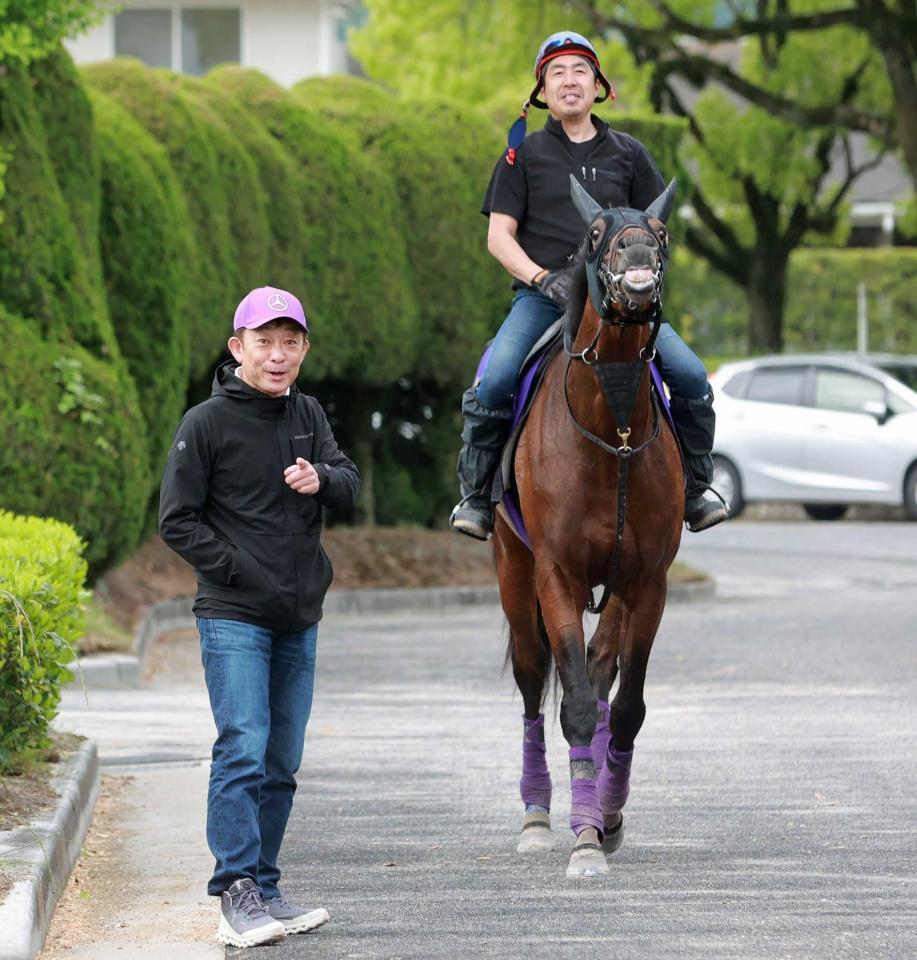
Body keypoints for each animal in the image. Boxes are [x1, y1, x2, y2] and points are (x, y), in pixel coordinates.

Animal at [490, 174, 684, 876]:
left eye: (659, 230)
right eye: (596, 233)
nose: (636, 257)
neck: (613, 431)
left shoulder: (649, 581)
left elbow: (624, 709)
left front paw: (607, 817)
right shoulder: (557, 576)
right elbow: (571, 703)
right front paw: (582, 842)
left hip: (621, 587)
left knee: (604, 675)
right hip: (514, 574)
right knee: (530, 682)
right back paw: (538, 816)